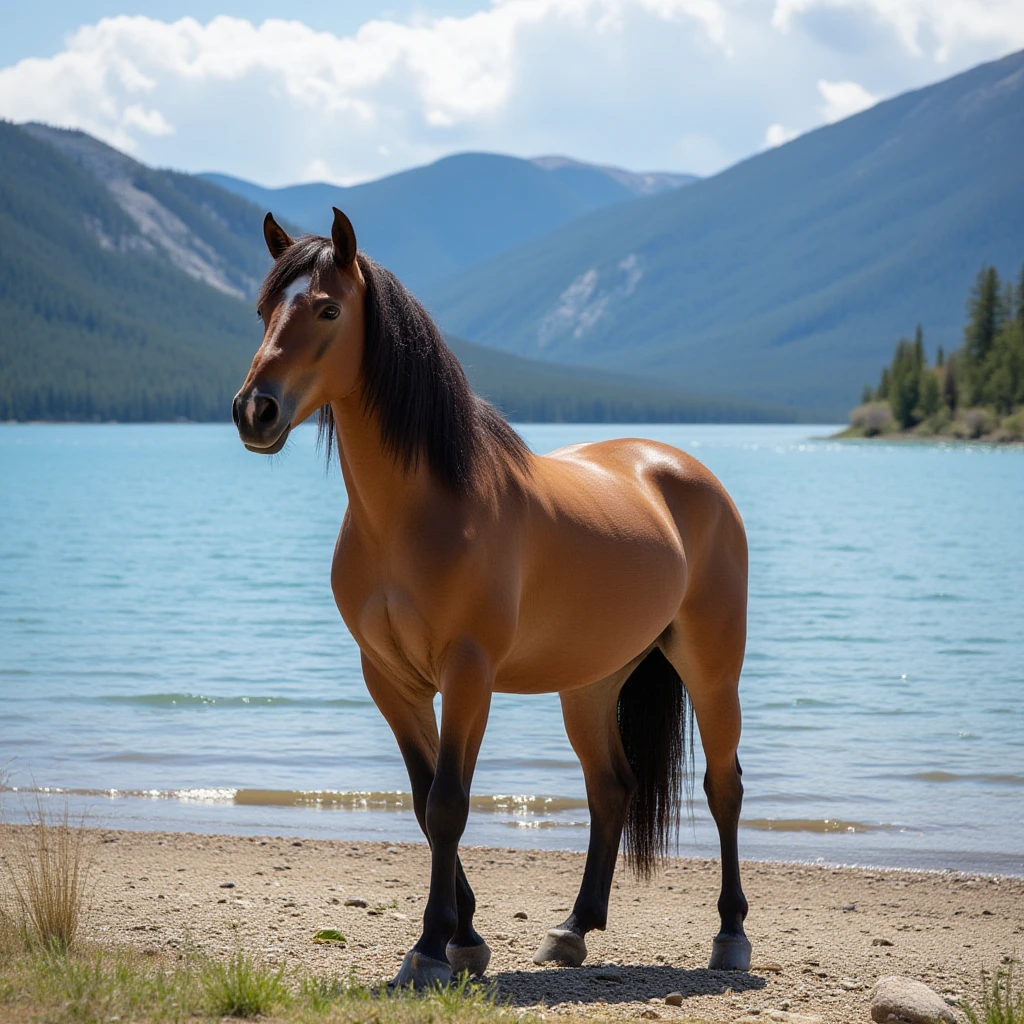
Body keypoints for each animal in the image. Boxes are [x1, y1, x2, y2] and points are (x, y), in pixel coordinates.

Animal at [232, 207, 752, 989]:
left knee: (725, 788)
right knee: (611, 787)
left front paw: (430, 948)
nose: (254, 411)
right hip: (592, 682)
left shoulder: (468, 671)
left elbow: (448, 802)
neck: (417, 512)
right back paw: (573, 930)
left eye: (326, 309)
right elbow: (424, 805)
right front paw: (466, 939)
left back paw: (730, 935)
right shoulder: (389, 679)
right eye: (265, 311)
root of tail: (686, 471)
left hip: (712, 670)